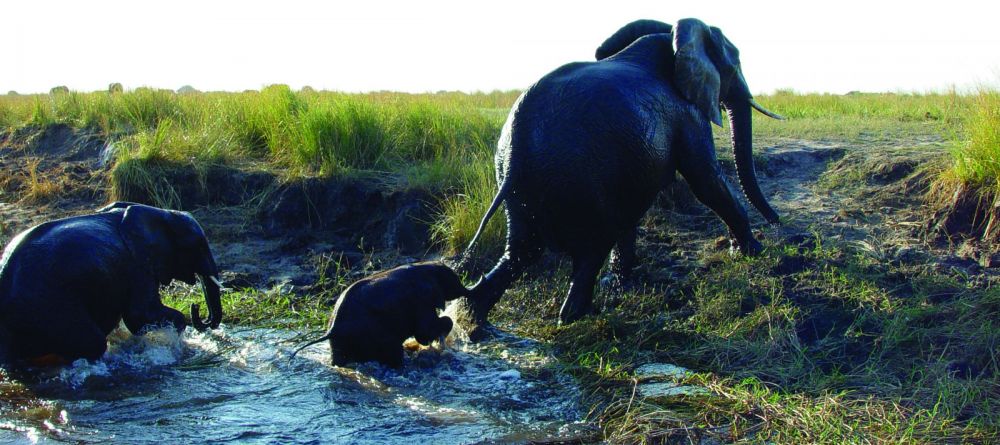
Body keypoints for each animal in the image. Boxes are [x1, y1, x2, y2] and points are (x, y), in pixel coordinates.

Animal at [0, 202, 223, 365]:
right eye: (199, 245)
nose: (196, 307)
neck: (159, 213)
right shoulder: (136, 265)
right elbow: (139, 316)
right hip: (47, 309)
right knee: (93, 342)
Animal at [291, 262, 469, 368]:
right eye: (454, 281)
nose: (469, 290)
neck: (425, 266)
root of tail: (333, 329)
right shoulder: (421, 299)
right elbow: (424, 331)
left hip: (343, 340)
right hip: (372, 333)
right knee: (393, 352)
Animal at [462, 18, 783, 330]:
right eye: (736, 63)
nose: (776, 222)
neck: (672, 38)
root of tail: (517, 149)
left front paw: (619, 283)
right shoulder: (686, 113)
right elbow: (706, 180)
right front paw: (754, 250)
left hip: (520, 182)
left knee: (522, 250)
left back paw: (476, 321)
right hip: (580, 180)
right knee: (591, 248)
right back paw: (576, 315)